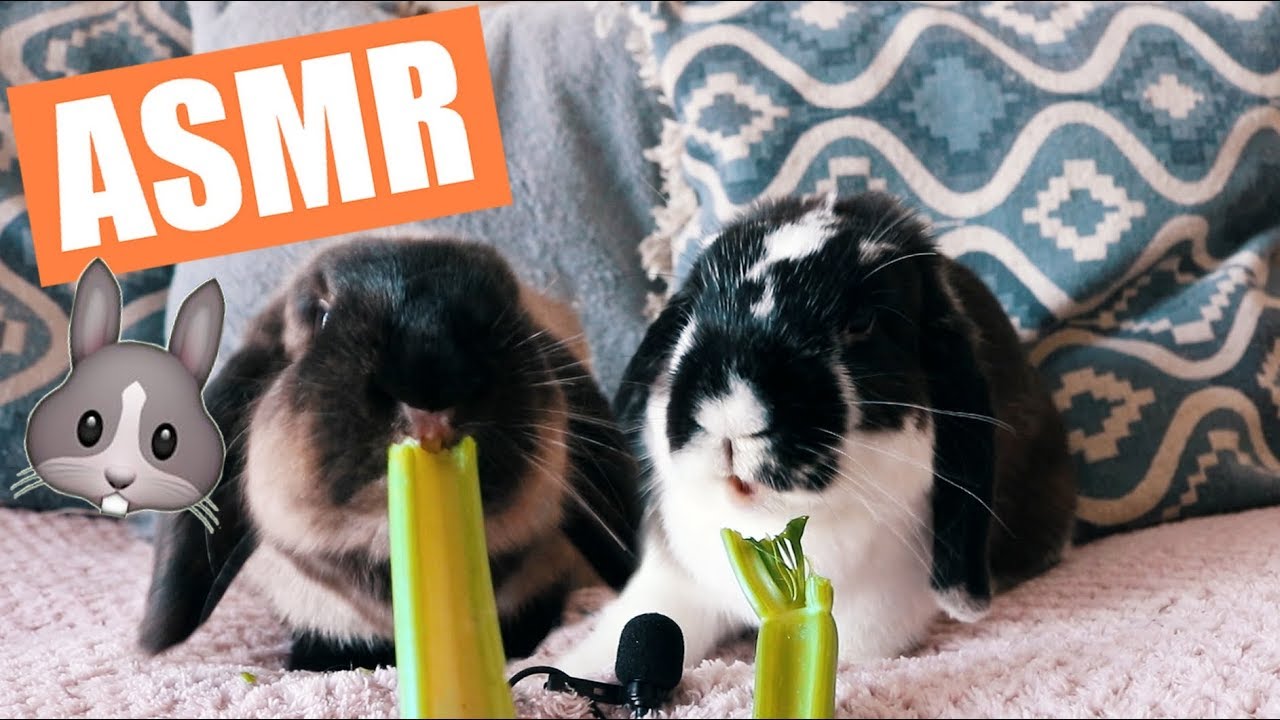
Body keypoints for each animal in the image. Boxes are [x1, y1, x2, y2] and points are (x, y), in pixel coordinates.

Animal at [554, 191, 1078, 678]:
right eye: (693, 311)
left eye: (862, 322)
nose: (730, 411)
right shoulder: (677, 580)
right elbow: (635, 626)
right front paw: (560, 674)